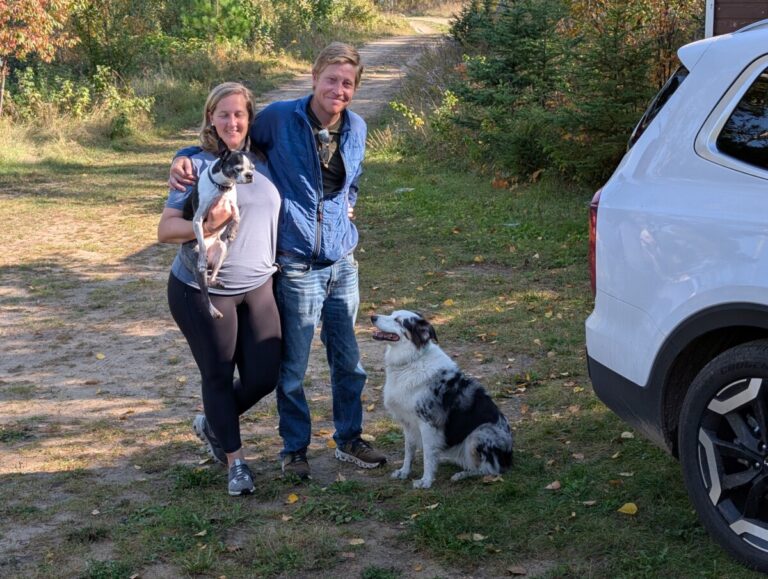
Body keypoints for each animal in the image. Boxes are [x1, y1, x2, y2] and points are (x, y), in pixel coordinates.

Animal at [179, 145, 254, 319]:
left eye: (253, 168)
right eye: (238, 169)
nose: (250, 176)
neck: (222, 187)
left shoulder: (232, 204)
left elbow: (237, 215)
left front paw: (233, 231)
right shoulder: (198, 219)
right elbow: (200, 240)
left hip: (222, 250)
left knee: (212, 276)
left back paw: (216, 281)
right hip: (197, 266)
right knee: (205, 294)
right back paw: (213, 311)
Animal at [372, 310, 514, 489]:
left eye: (398, 320)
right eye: (391, 314)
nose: (372, 317)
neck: (411, 361)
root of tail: (509, 458)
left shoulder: (428, 423)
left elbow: (427, 455)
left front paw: (426, 481)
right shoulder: (408, 423)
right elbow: (409, 451)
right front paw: (404, 472)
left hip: (479, 434)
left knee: (490, 470)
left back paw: (462, 474)